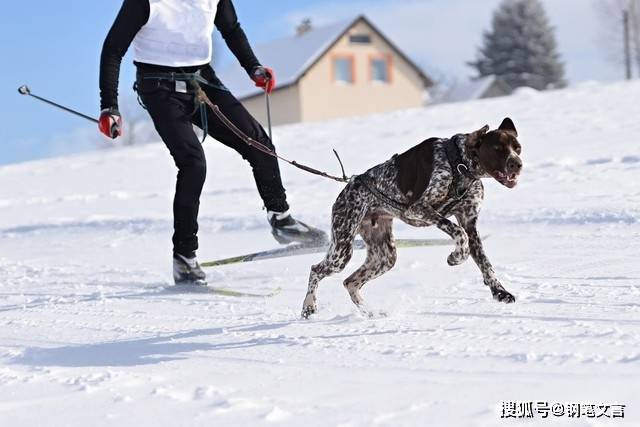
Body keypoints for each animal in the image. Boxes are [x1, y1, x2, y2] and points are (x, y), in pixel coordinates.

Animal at [302, 118, 524, 320]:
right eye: (497, 148)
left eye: (518, 148)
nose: (518, 164)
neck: (458, 164)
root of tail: (348, 185)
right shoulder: (418, 209)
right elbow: (458, 234)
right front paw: (456, 256)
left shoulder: (469, 222)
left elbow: (485, 263)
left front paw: (500, 291)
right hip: (342, 250)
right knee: (316, 270)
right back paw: (308, 307)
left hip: (385, 256)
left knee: (350, 282)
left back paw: (370, 313)